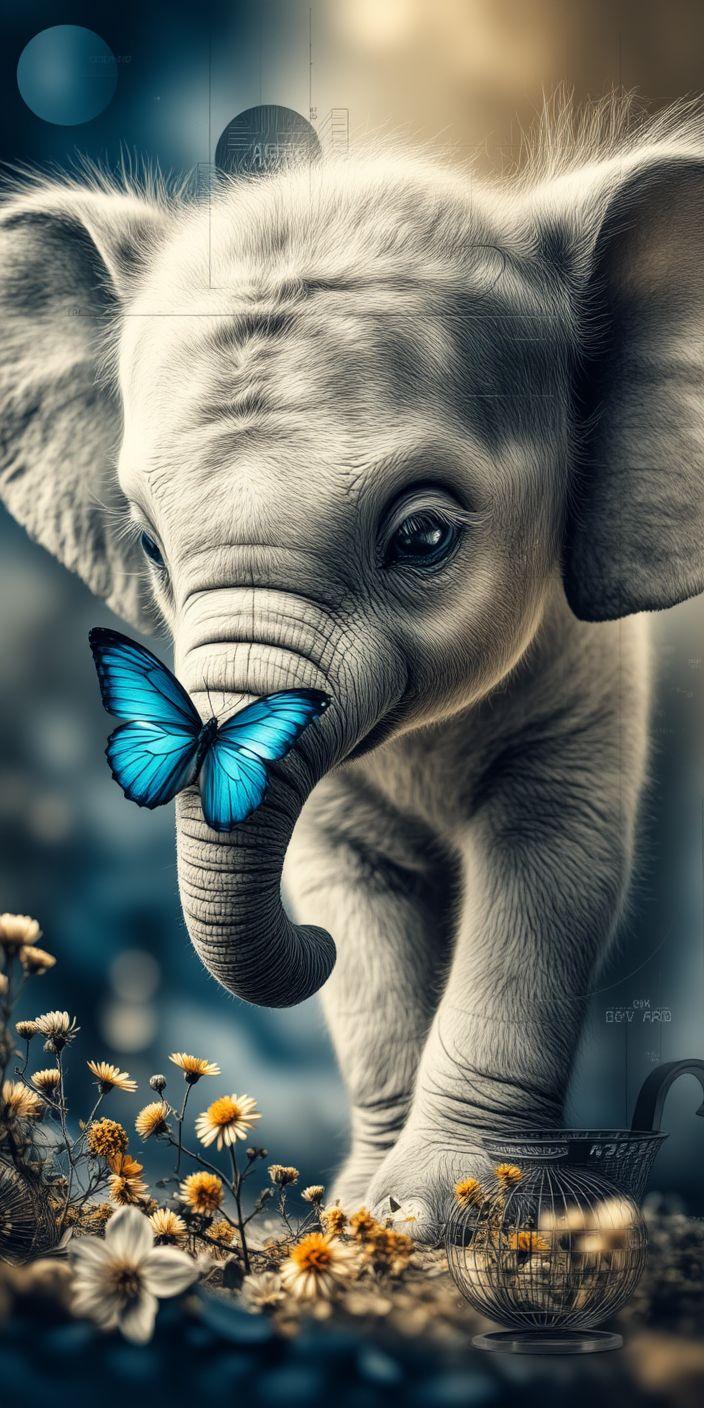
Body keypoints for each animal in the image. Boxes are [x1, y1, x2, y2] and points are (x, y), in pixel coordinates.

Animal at [1, 101, 703, 1241]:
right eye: (148, 545)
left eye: (422, 537)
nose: (308, 944)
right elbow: (352, 881)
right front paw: (362, 1215)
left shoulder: (590, 671)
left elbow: (553, 860)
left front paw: (440, 1209)